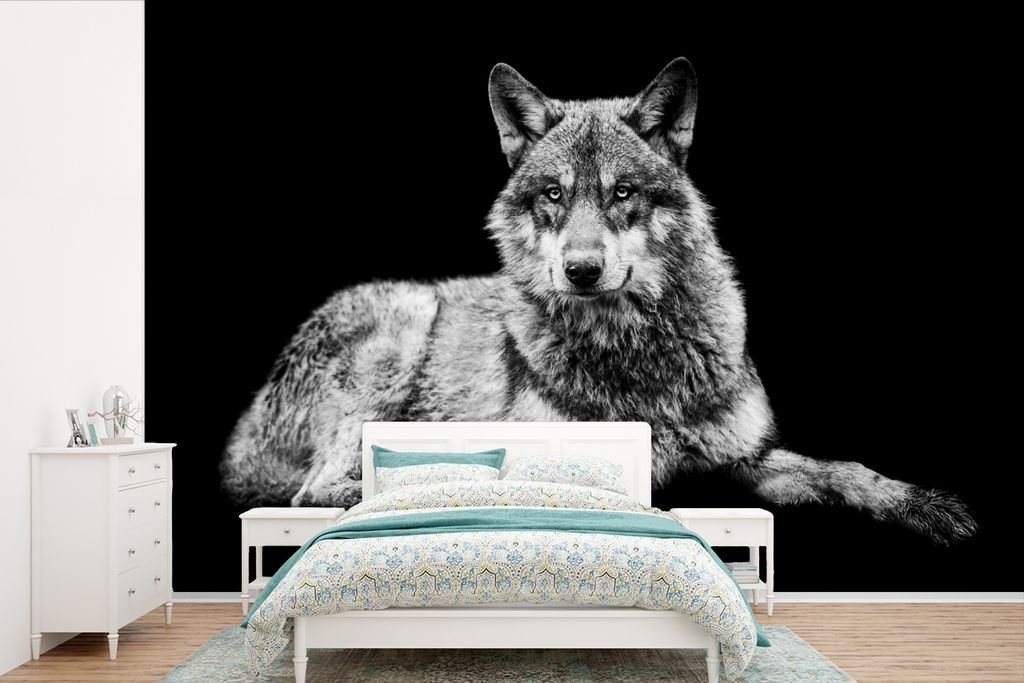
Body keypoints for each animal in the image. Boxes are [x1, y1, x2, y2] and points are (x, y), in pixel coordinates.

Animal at [221, 58, 976, 545]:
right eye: (554, 193)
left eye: (622, 193)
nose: (581, 270)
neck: (635, 357)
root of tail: (243, 428)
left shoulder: (746, 457)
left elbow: (846, 468)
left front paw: (923, 503)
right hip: (399, 336)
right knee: (318, 490)